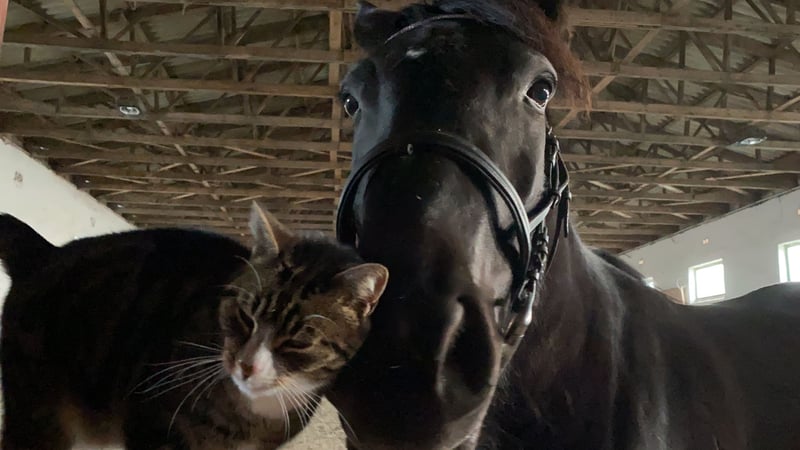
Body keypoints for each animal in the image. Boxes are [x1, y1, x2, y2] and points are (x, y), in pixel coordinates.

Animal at [0, 202, 388, 450]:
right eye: (245, 316)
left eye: (298, 341)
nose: (246, 365)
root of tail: (44, 252)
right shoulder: (155, 425)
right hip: (39, 410)